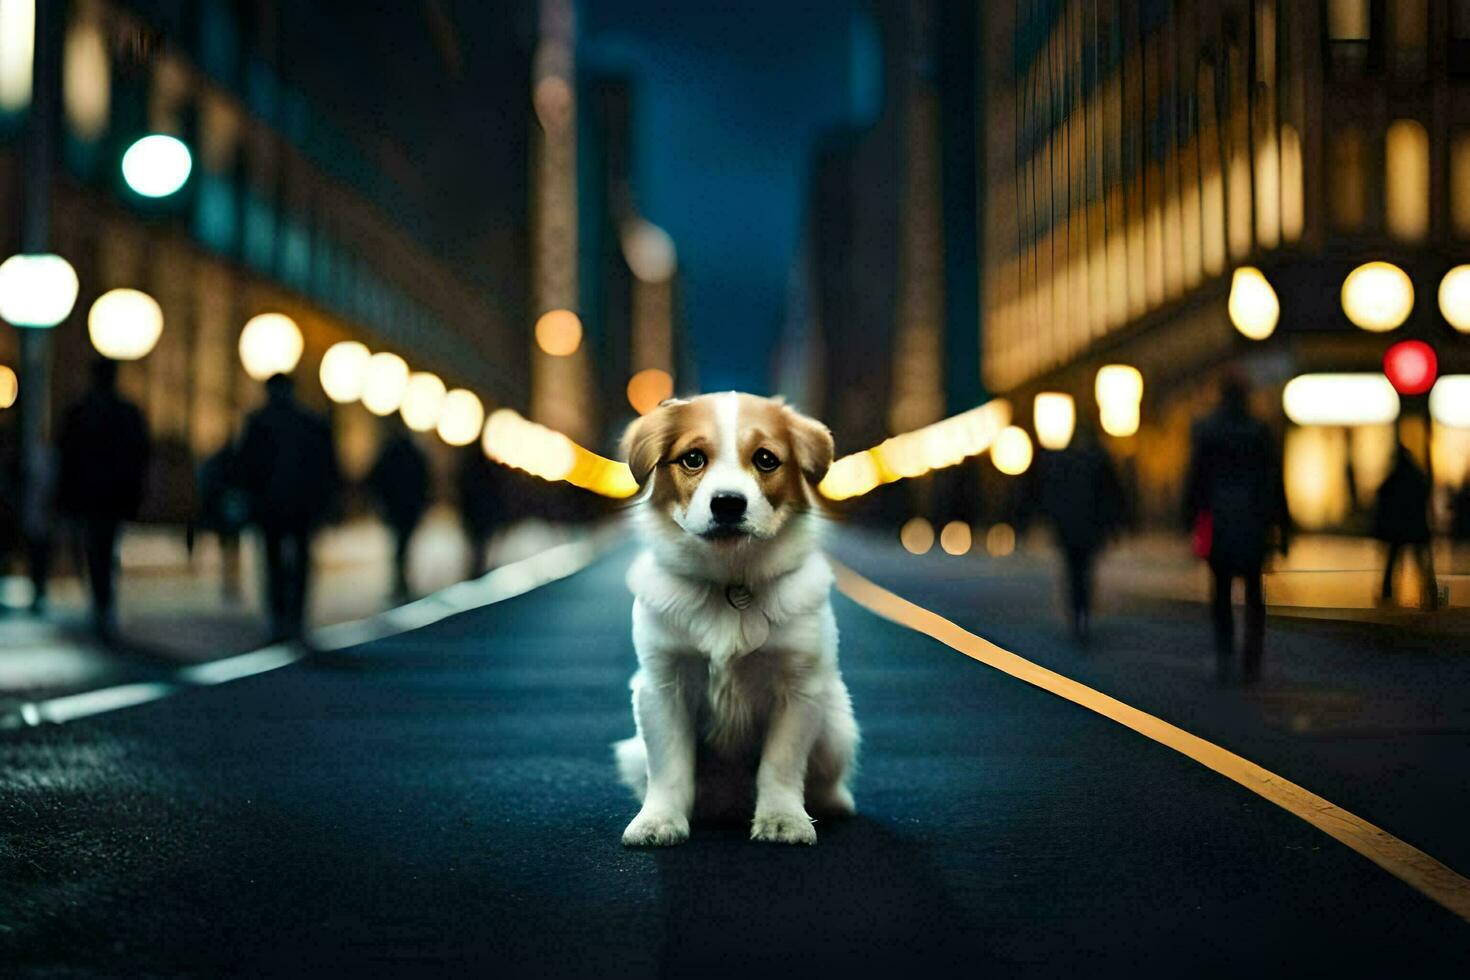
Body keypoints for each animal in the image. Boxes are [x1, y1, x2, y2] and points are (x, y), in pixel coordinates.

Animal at [611, 387, 858, 846]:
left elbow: (781, 765)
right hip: (633, 750)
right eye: (693, 458)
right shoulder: (661, 684)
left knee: (825, 779)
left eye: (766, 459)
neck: (731, 582)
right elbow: (669, 766)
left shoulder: (800, 688)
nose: (727, 504)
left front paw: (783, 818)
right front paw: (659, 820)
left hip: (837, 725)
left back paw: (832, 804)